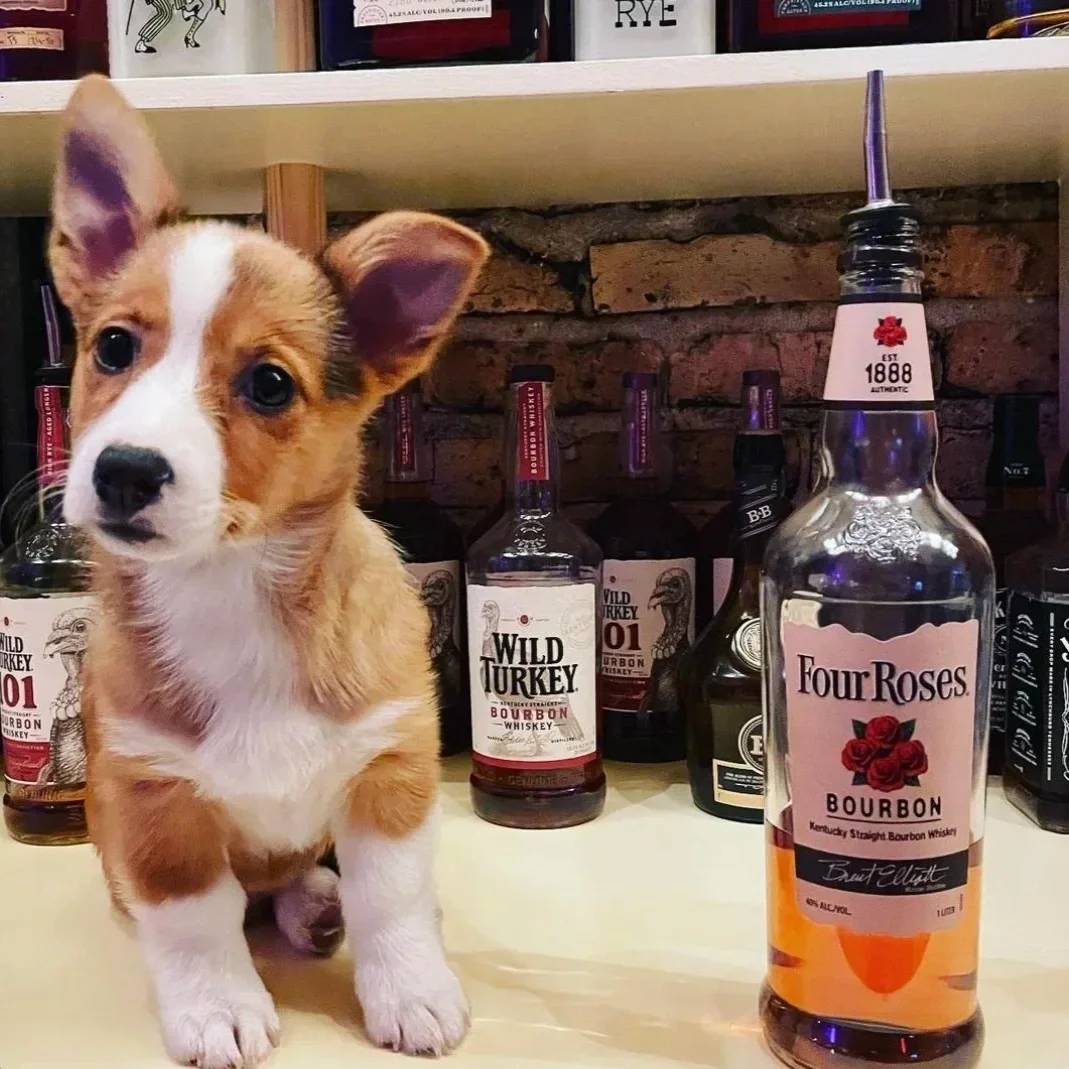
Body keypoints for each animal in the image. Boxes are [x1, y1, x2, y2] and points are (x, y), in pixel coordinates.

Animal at [50, 75, 488, 1069]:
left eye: (270, 384)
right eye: (113, 347)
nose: (124, 471)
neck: (230, 588)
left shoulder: (391, 773)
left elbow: (392, 899)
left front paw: (412, 990)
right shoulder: (154, 802)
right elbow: (194, 918)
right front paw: (217, 1005)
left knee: (315, 878)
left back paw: (318, 904)